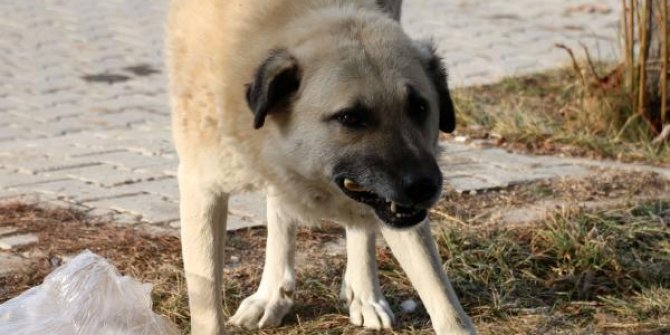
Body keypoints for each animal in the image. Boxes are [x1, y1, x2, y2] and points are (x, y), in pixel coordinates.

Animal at [165, 0, 476, 335]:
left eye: (419, 107)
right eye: (350, 117)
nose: (424, 187)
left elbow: (442, 297)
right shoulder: (201, 186)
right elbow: (207, 300)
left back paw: (364, 294)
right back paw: (271, 295)